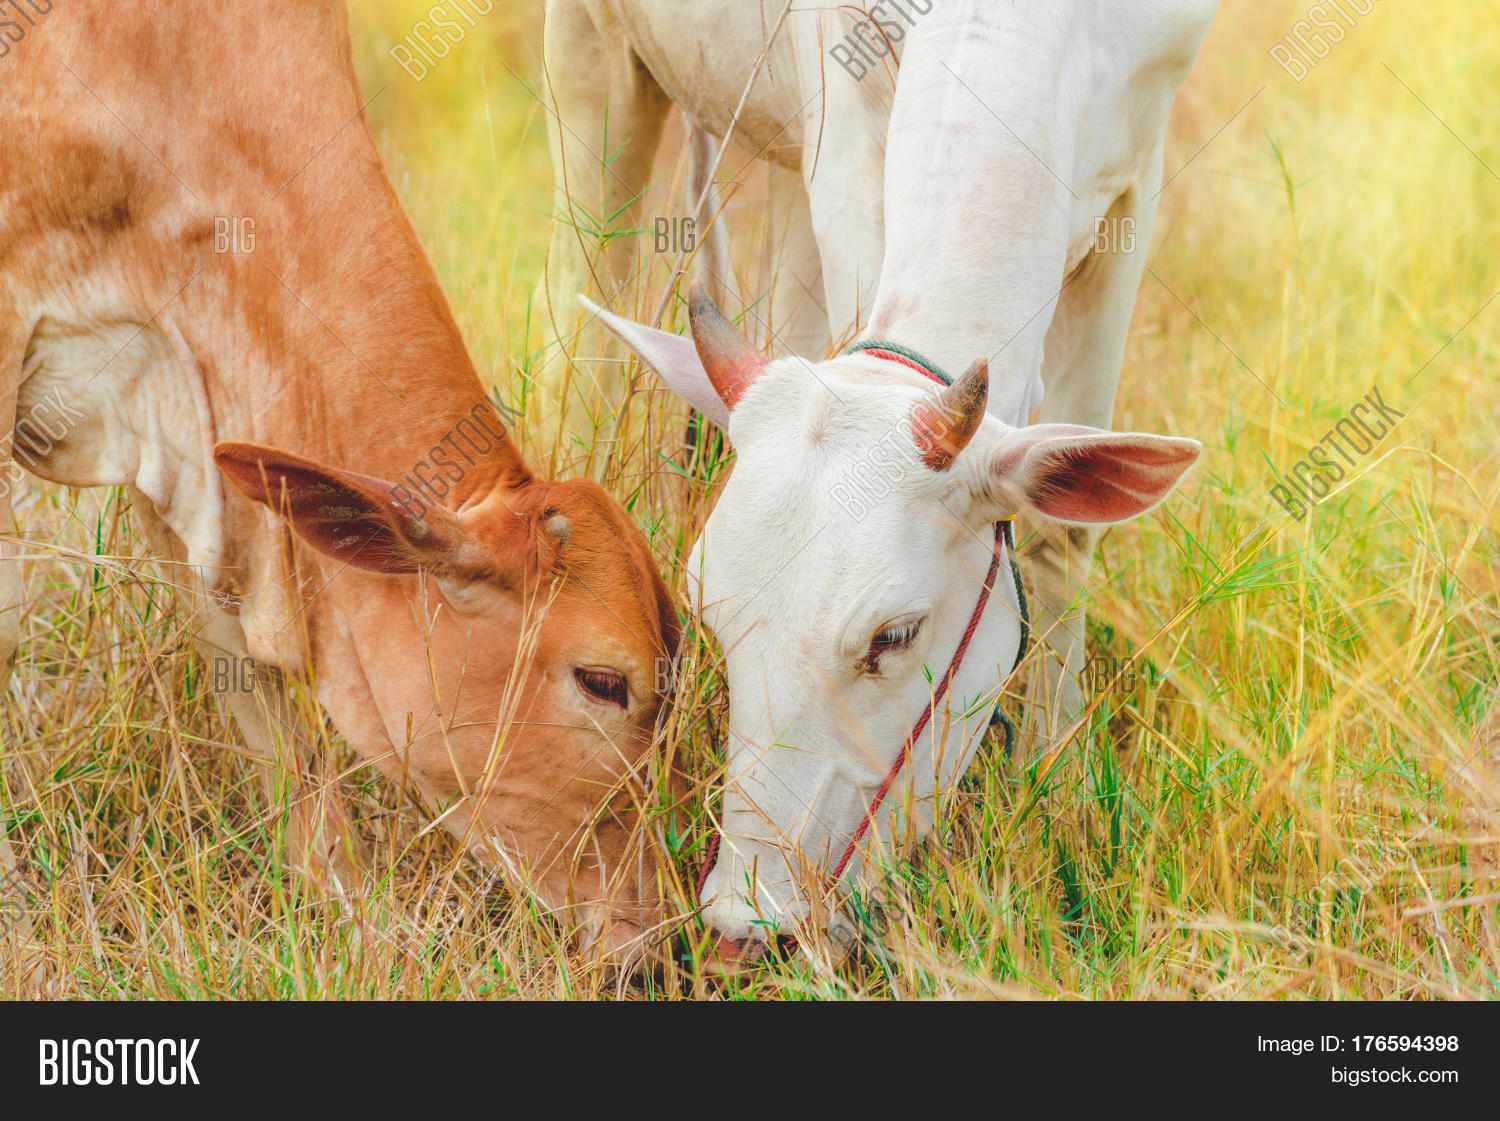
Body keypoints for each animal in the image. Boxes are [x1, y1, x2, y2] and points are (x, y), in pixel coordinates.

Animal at [543, 0, 1216, 965]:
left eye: (894, 635)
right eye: (710, 619)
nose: (748, 925)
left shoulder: (1138, 172)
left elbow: (1061, 539)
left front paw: (1057, 786)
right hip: (592, 55)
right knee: (582, 324)